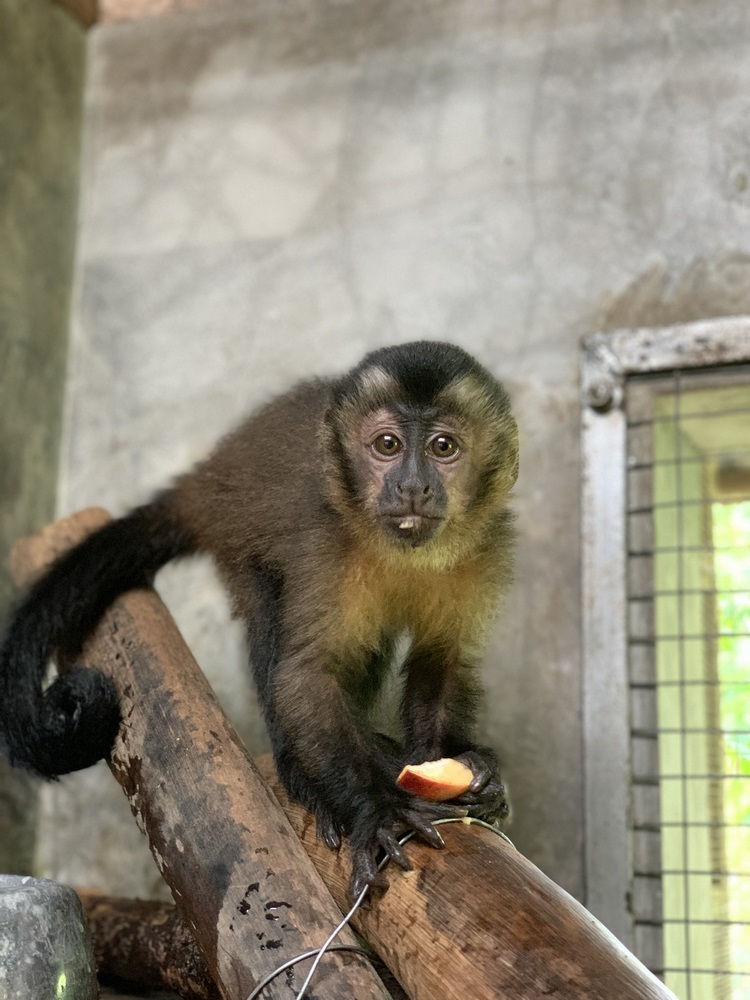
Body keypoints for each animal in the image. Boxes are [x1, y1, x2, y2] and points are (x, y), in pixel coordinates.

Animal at [0, 341, 518, 899]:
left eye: (444, 446)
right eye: (387, 444)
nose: (413, 486)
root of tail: (213, 472)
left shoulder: (485, 546)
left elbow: (442, 659)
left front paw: (463, 764)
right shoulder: (326, 543)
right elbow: (304, 675)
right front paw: (376, 809)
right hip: (237, 542)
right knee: (272, 615)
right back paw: (302, 773)